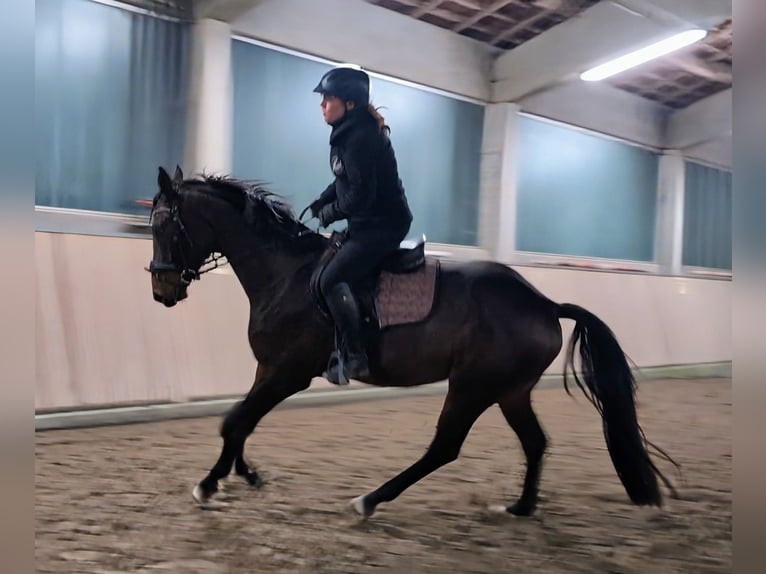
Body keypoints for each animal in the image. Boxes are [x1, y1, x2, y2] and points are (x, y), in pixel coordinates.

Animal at [146, 164, 680, 520]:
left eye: (164, 224)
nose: (161, 291)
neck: (286, 273)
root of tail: (545, 303)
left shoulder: (288, 372)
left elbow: (235, 421)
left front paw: (210, 484)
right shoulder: (269, 370)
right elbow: (241, 422)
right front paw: (246, 474)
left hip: (472, 386)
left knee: (444, 447)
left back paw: (369, 500)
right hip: (510, 390)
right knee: (534, 442)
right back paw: (521, 507)